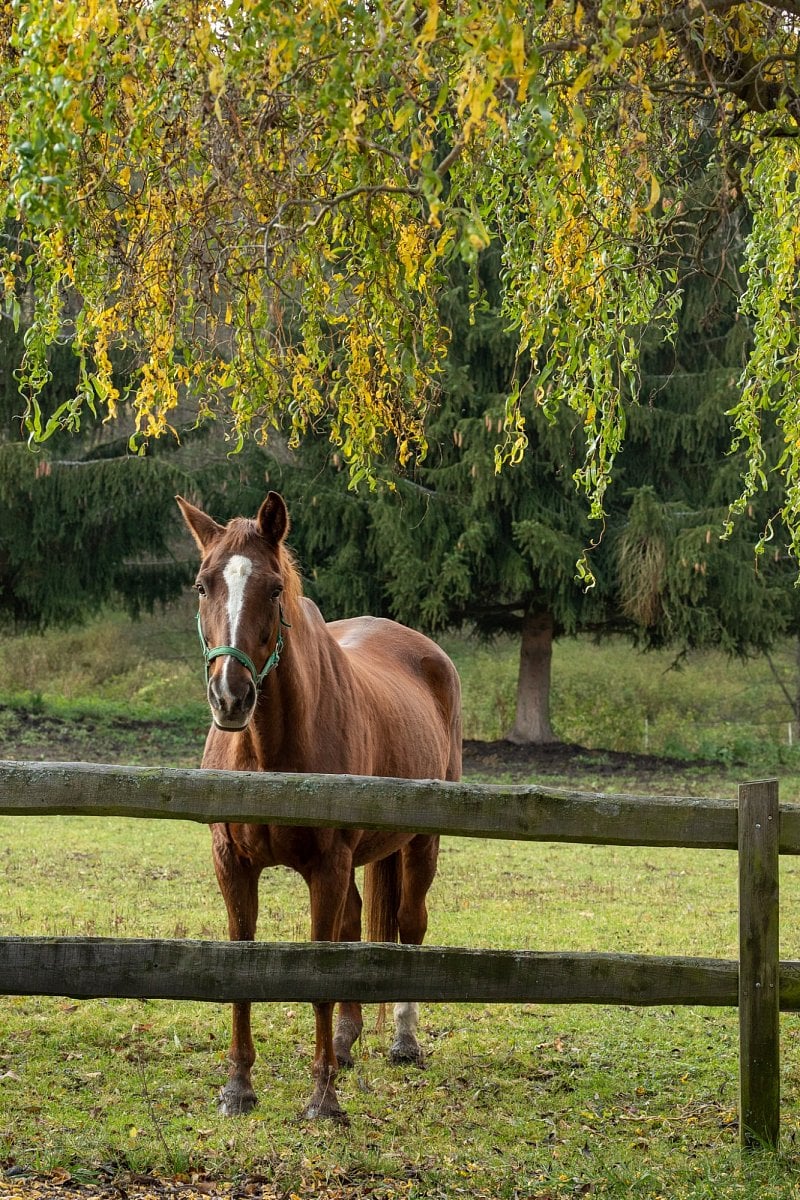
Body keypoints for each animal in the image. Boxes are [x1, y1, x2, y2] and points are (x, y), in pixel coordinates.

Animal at [175, 489, 462, 1123]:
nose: (230, 695)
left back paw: (403, 1040)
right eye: (203, 585)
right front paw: (238, 1087)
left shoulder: (328, 866)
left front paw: (323, 1099)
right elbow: (246, 966)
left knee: (409, 926)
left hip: (421, 843)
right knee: (356, 925)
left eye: (274, 588)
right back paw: (347, 1043)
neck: (269, 755)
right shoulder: (233, 865)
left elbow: (321, 970)